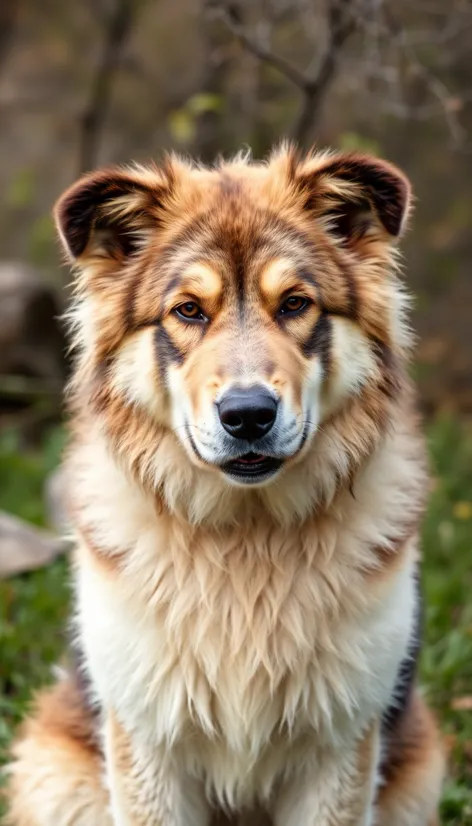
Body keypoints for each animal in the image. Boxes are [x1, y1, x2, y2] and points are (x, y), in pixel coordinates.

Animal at [6, 145, 446, 820]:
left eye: (295, 304)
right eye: (188, 310)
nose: (247, 415)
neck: (245, 536)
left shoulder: (341, 745)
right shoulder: (146, 744)